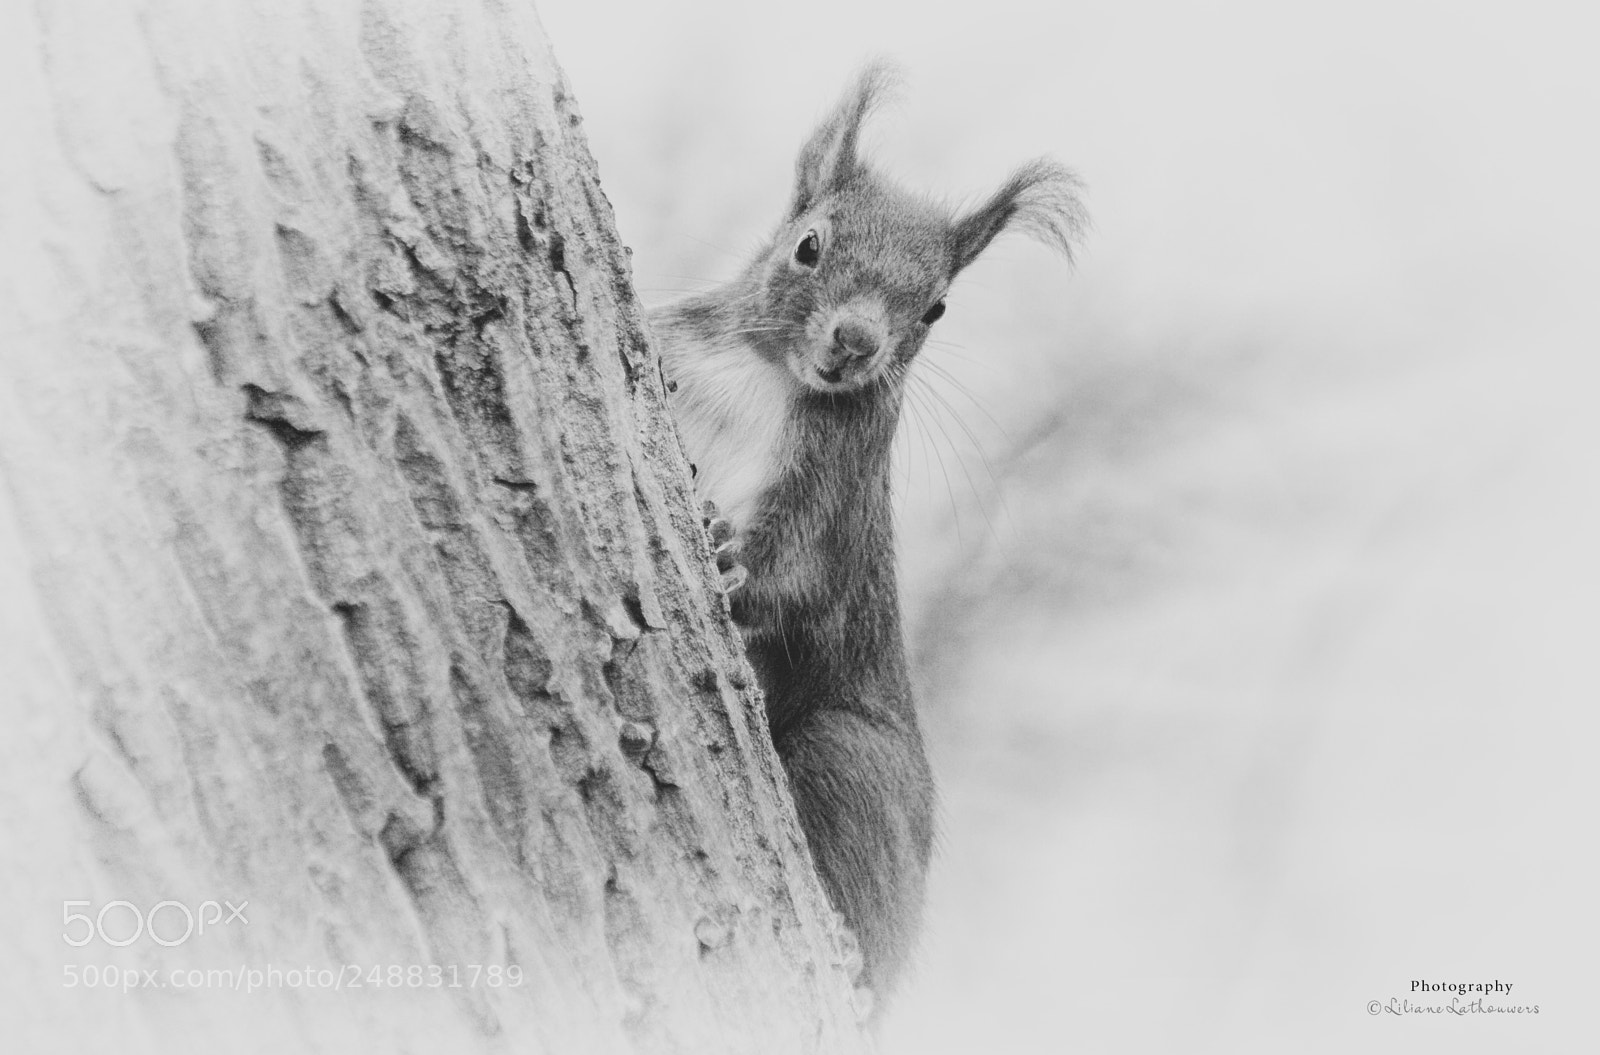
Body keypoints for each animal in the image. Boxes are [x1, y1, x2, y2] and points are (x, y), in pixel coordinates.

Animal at [649, 63, 1085, 1005]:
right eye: (809, 245)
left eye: (937, 308)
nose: (856, 341)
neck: (764, 371)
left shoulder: (834, 489)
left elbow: (800, 578)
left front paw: (726, 557)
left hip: (850, 759)